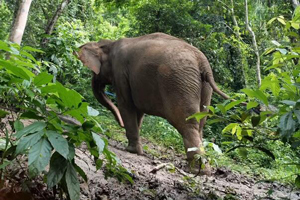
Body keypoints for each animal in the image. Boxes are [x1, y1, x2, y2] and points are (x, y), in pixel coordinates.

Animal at [74, 32, 227, 173]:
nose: (120, 124)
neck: (109, 44)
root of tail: (202, 62)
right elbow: (138, 110)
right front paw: (134, 148)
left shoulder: (120, 71)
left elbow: (126, 104)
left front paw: (131, 150)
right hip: (204, 89)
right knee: (200, 124)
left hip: (179, 83)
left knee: (187, 124)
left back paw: (196, 170)